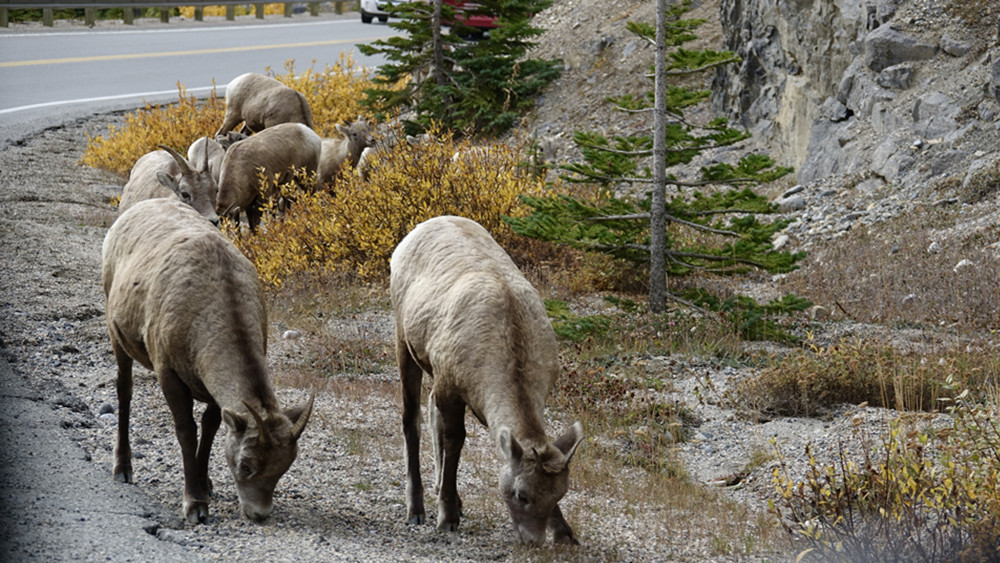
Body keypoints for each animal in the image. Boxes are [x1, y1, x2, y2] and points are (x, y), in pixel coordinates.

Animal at [101, 197, 314, 523]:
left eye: (284, 468)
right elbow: (187, 431)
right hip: (117, 336)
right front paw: (195, 505)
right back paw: (123, 469)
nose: (259, 514)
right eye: (246, 465)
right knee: (124, 391)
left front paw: (205, 484)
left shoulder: (213, 389)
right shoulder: (169, 373)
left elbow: (211, 428)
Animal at [390, 215, 584, 545]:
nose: (533, 541)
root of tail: (418, 229)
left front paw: (565, 533)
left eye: (559, 495)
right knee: (411, 418)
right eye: (520, 495)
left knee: (429, 412)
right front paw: (447, 517)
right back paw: (416, 509)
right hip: (404, 343)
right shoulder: (451, 388)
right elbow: (455, 441)